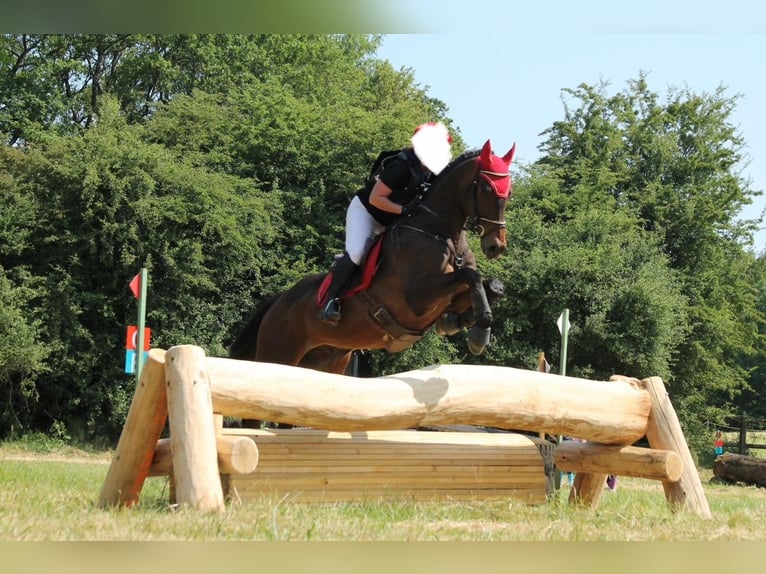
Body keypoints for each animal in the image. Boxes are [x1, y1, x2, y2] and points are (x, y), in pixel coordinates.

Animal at [228, 137, 516, 376]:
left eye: (509, 191)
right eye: (487, 189)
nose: (496, 246)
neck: (439, 232)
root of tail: (279, 301)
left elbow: (492, 285)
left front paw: (460, 323)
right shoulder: (419, 299)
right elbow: (470, 275)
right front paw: (479, 333)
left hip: (326, 361)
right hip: (278, 353)